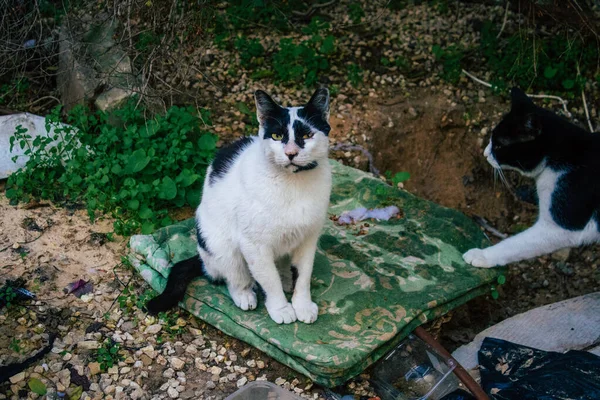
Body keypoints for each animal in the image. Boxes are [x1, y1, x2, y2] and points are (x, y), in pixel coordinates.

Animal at [146, 88, 332, 324]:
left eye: (307, 135)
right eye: (277, 136)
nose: (291, 153)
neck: (293, 183)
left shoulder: (308, 238)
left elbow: (304, 275)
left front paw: (303, 305)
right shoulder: (254, 244)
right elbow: (268, 279)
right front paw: (281, 308)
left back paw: (285, 278)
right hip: (221, 245)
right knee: (233, 277)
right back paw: (245, 294)